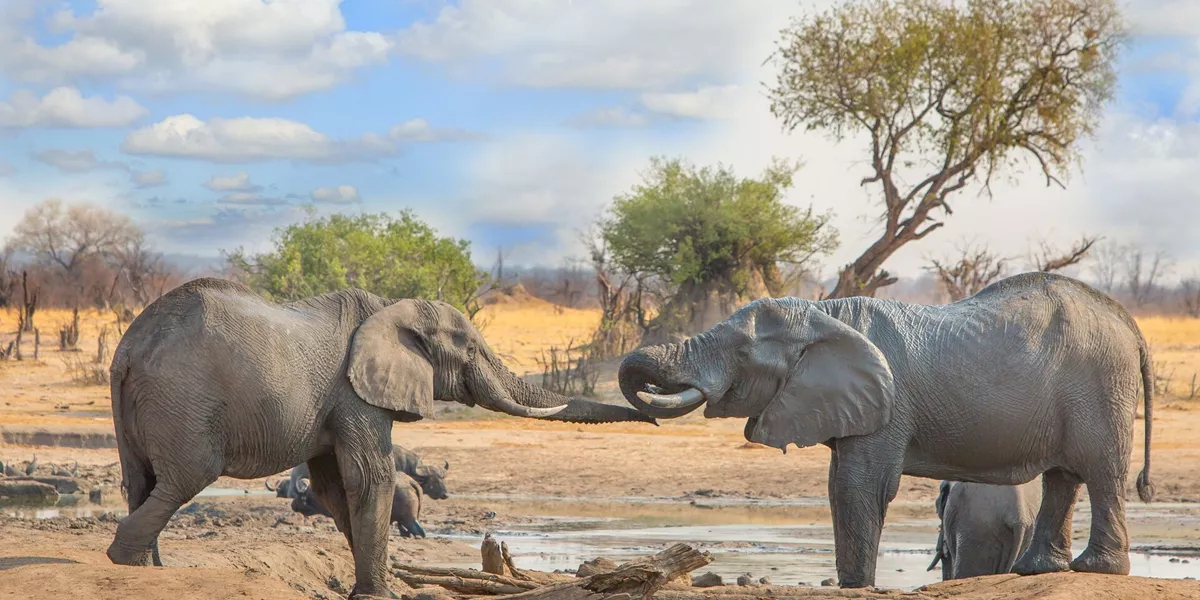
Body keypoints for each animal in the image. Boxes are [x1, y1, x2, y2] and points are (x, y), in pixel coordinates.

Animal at [105, 277, 656, 599]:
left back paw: (150, 569)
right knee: (185, 477)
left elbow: (334, 487)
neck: (394, 311)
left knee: (141, 481)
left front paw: (372, 589)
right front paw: (379, 595)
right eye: (471, 349)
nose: (652, 417)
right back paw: (124, 560)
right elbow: (370, 477)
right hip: (183, 397)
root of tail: (130, 347)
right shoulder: (357, 393)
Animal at [617, 272, 1154, 588]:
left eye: (743, 353)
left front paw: (857, 587)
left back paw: (1096, 569)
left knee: (1101, 473)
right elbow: (839, 486)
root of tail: (1128, 321)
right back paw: (1037, 570)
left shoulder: (887, 406)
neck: (824, 312)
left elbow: (858, 486)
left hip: (1101, 383)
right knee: (1064, 478)